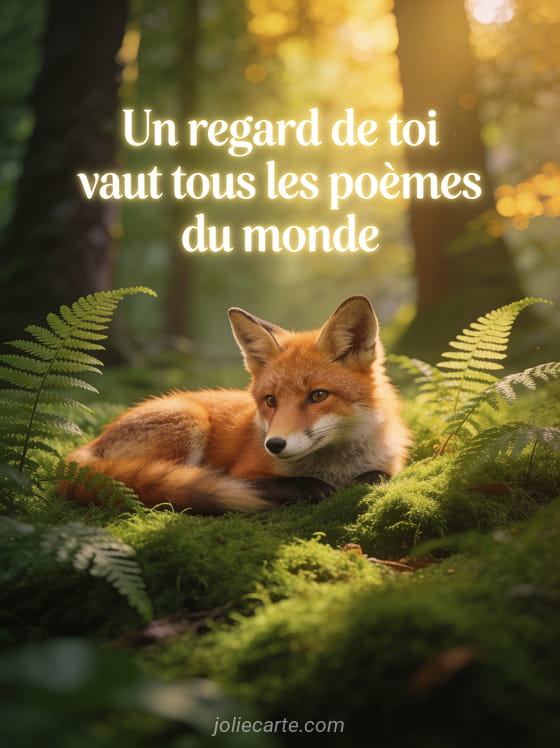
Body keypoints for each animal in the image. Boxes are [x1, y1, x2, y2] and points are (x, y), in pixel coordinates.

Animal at [60, 295, 410, 514]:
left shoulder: (388, 464)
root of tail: (90, 444)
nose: (274, 445)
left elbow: (378, 475)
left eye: (318, 396)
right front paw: (311, 488)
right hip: (190, 421)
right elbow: (285, 484)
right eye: (271, 400)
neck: (335, 466)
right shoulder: (241, 473)